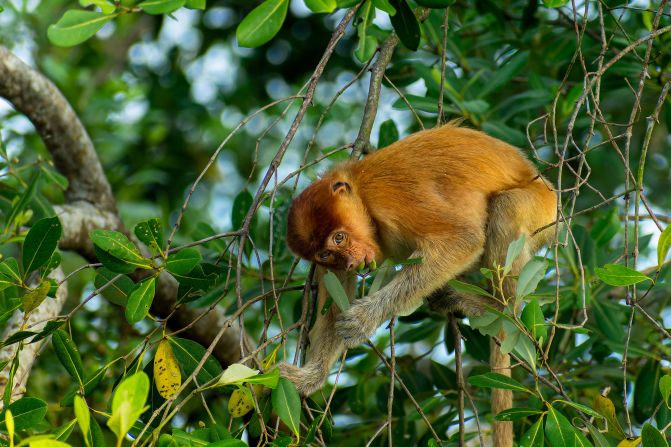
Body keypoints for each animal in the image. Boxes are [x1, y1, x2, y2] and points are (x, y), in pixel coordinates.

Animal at [279, 123, 557, 447]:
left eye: (339, 237)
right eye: (326, 254)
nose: (349, 263)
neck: (360, 191)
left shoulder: (391, 199)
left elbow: (462, 239)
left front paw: (364, 319)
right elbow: (333, 312)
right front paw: (308, 377)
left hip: (540, 209)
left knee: (506, 206)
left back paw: (496, 306)